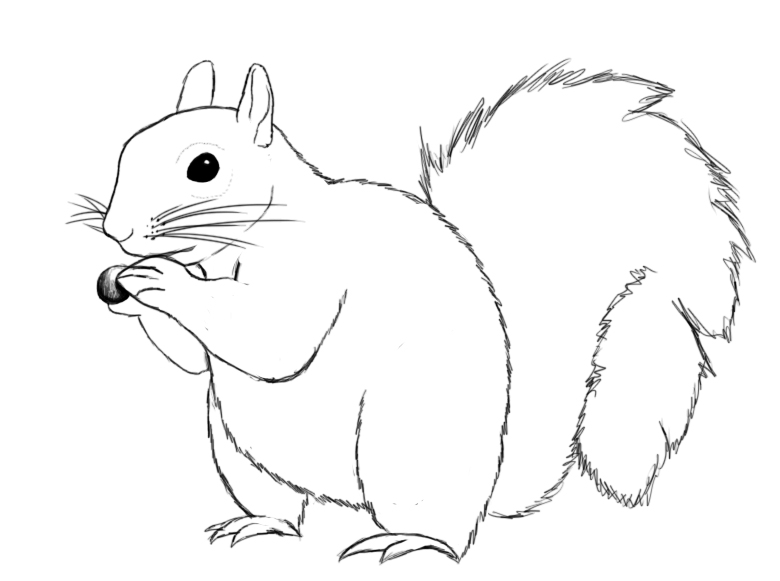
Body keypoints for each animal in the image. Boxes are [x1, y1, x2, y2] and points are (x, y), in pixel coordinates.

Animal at [76, 59, 752, 563]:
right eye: (128, 149)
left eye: (204, 167)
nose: (116, 231)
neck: (224, 249)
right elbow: (197, 360)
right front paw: (132, 287)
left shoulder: (311, 266)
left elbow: (277, 337)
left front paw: (156, 278)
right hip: (237, 452)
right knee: (284, 510)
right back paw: (260, 526)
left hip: (407, 443)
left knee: (449, 535)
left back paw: (409, 542)